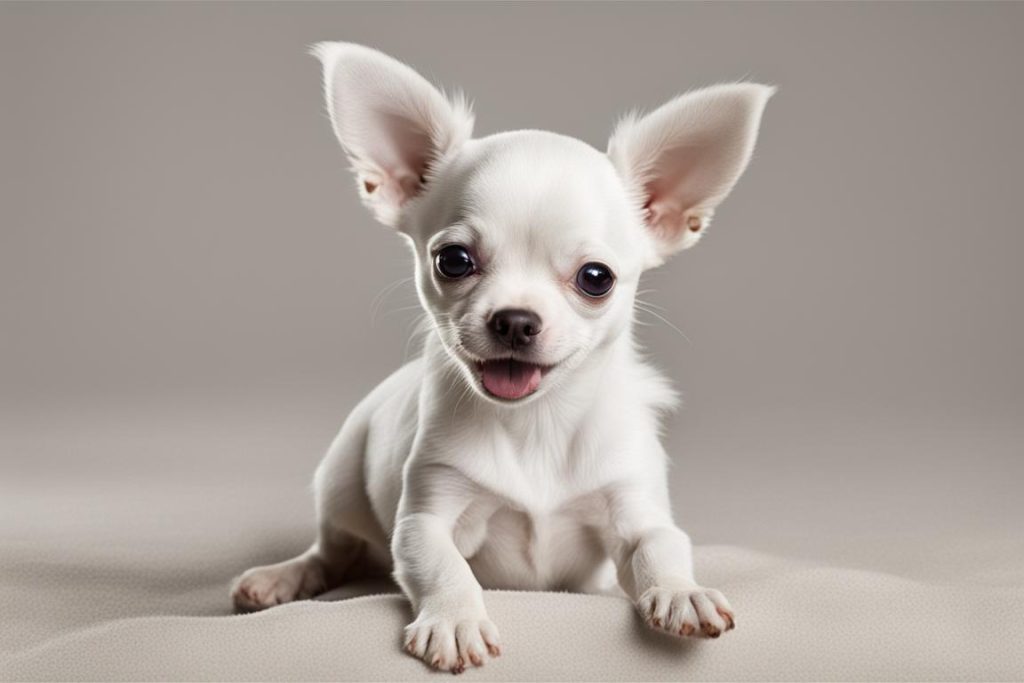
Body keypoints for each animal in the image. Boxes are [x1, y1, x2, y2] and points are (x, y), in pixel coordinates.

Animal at [232, 45, 770, 675]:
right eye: (453, 260)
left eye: (596, 279)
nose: (514, 319)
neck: (535, 422)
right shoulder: (426, 521)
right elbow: (446, 567)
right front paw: (455, 622)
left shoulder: (634, 510)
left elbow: (661, 547)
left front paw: (683, 592)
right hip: (340, 482)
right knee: (330, 551)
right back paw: (280, 578)